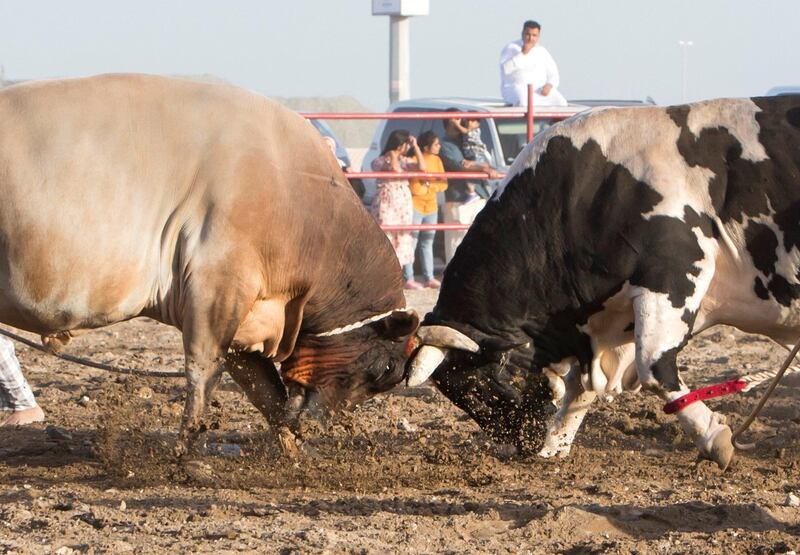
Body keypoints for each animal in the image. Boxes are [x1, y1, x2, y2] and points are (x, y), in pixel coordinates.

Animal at [406, 94, 800, 470]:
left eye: (476, 387)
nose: (522, 442)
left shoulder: (672, 274)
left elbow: (654, 366)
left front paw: (714, 437)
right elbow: (580, 388)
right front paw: (554, 445)